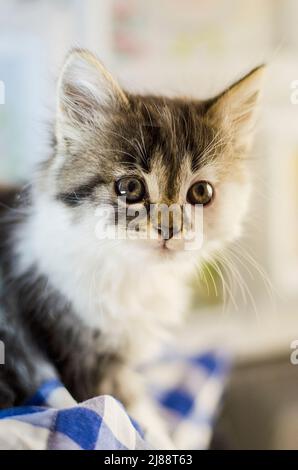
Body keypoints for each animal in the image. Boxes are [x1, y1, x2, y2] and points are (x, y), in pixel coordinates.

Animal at [0, 48, 264, 448]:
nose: (169, 229)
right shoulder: (84, 362)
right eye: (130, 188)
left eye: (201, 192)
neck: (132, 274)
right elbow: (140, 421)